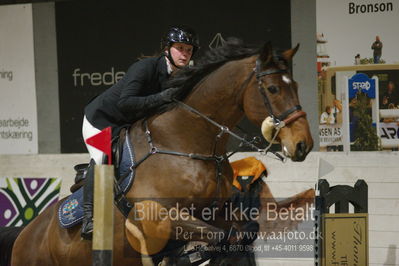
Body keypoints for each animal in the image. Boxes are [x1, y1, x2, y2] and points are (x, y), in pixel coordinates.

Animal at [4, 38, 314, 264]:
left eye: (297, 85)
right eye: (273, 89)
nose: (304, 145)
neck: (187, 142)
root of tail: (25, 234)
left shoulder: (214, 210)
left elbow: (242, 232)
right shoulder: (160, 217)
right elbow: (222, 236)